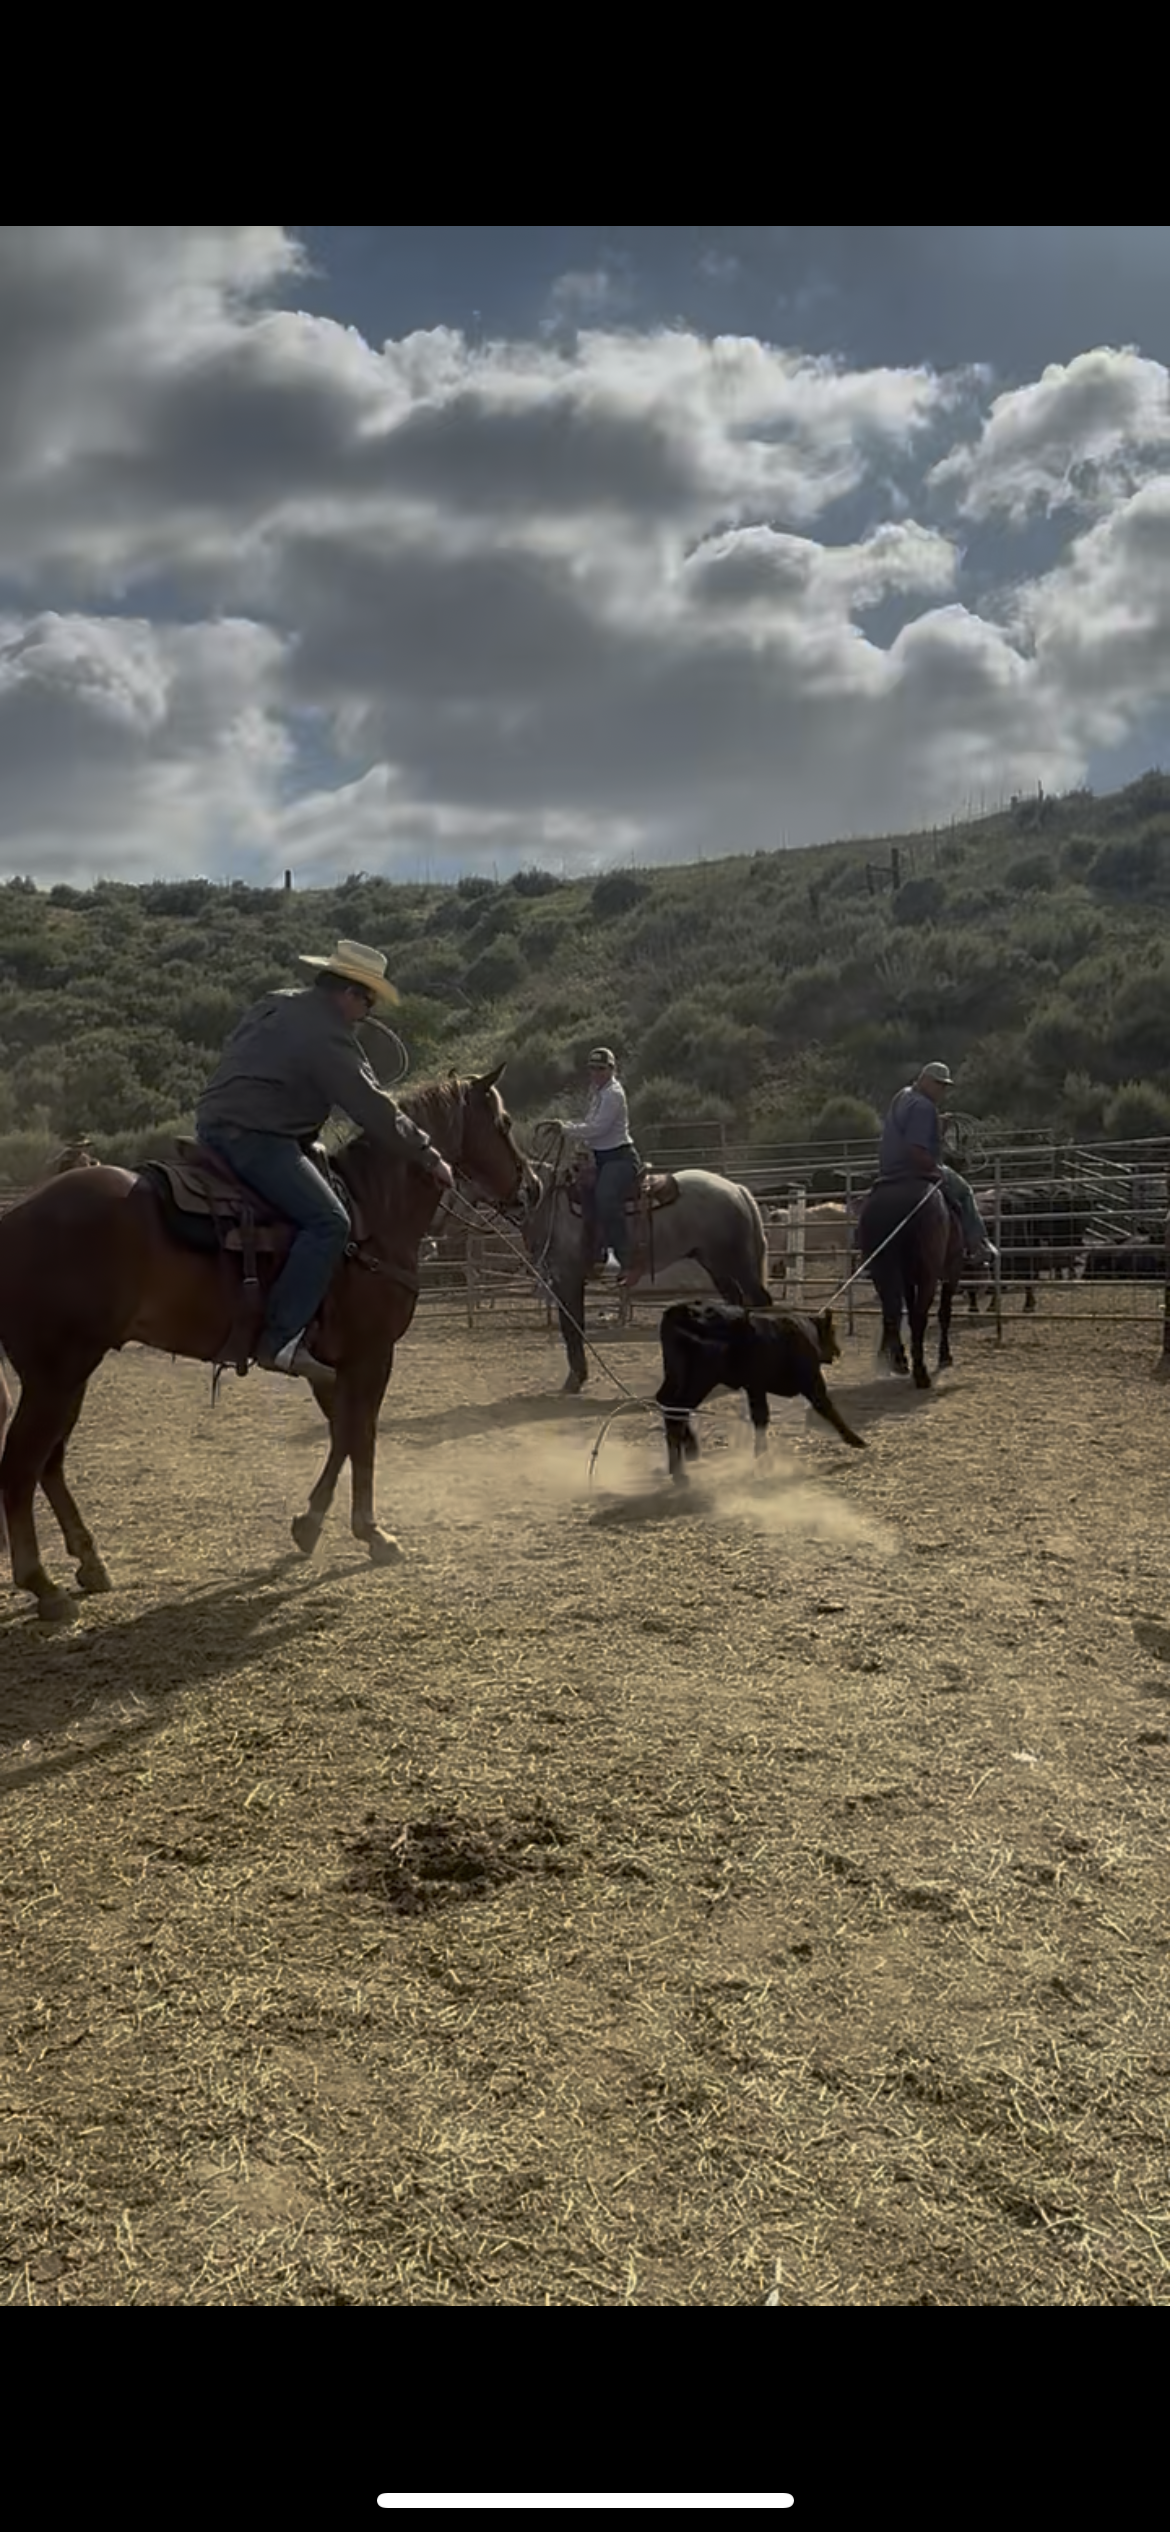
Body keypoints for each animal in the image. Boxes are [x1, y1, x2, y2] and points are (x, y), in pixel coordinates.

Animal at [0, 1070, 533, 1624]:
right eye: (503, 1122)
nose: (532, 1188)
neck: (372, 1215)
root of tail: (14, 1219)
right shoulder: (372, 1354)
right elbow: (361, 1435)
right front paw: (370, 1532)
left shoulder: (333, 1366)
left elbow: (342, 1434)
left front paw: (312, 1523)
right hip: (55, 1375)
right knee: (20, 1466)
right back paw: (42, 1585)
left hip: (73, 1373)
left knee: (50, 1463)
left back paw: (89, 1562)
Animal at [520, 1135, 773, 1393]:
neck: (548, 1200)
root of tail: (737, 1189)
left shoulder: (568, 1277)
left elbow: (572, 1326)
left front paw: (575, 1379)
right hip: (715, 1264)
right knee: (735, 1302)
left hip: (738, 1263)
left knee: (759, 1301)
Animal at [655, 1300, 865, 1482]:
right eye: (832, 1331)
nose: (837, 1351)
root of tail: (678, 1312)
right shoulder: (811, 1382)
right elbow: (827, 1407)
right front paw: (857, 1440)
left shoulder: (755, 1386)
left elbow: (760, 1417)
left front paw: (762, 1459)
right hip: (698, 1379)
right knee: (677, 1410)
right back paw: (680, 1472)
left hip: (674, 1377)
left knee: (668, 1404)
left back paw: (687, 1454)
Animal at [858, 1177, 963, 1389]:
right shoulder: (951, 1273)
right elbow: (943, 1313)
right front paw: (945, 1356)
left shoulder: (907, 1280)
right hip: (928, 1276)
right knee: (918, 1317)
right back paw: (920, 1373)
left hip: (882, 1270)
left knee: (891, 1312)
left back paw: (896, 1362)